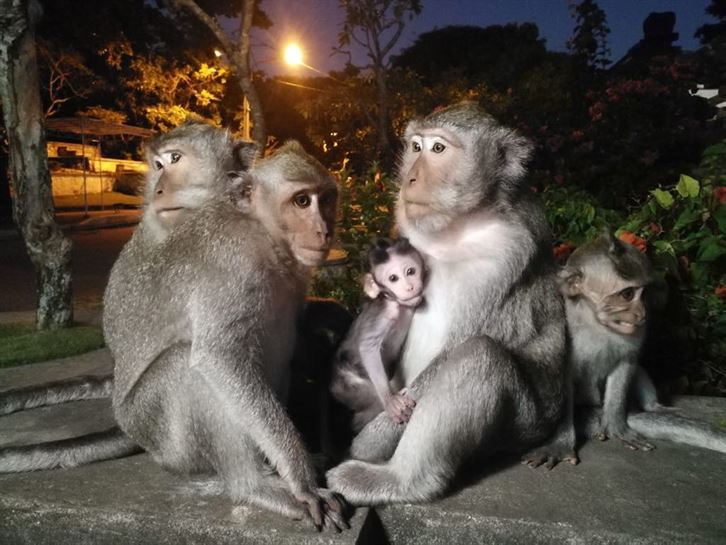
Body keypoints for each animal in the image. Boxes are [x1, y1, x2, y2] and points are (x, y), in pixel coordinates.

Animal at [0, 136, 349, 531]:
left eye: (327, 198)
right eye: (302, 201)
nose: (323, 230)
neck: (264, 233)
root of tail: (127, 425)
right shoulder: (232, 264)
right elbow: (218, 359)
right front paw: (301, 481)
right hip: (161, 436)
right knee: (188, 368)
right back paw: (252, 485)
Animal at [329, 237, 424, 433]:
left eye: (410, 271)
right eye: (393, 278)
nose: (409, 287)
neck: (396, 303)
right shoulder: (384, 313)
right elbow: (367, 346)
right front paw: (390, 402)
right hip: (347, 386)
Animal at [523, 233, 726, 469]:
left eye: (644, 293)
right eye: (627, 294)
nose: (642, 313)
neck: (593, 322)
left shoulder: (636, 332)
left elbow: (627, 362)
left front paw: (616, 425)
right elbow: (558, 377)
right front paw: (560, 442)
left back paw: (653, 406)